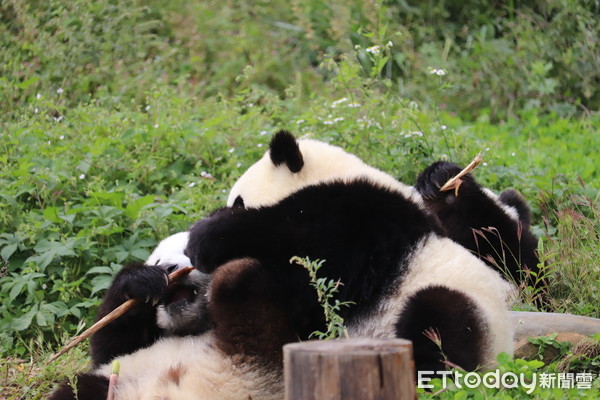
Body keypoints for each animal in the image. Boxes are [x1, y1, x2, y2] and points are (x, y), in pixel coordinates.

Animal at [186, 130, 516, 376]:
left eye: (239, 201)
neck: (333, 174)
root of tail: (503, 357)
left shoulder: (360, 222)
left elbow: (315, 263)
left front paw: (204, 239)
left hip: (466, 310)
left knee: (439, 321)